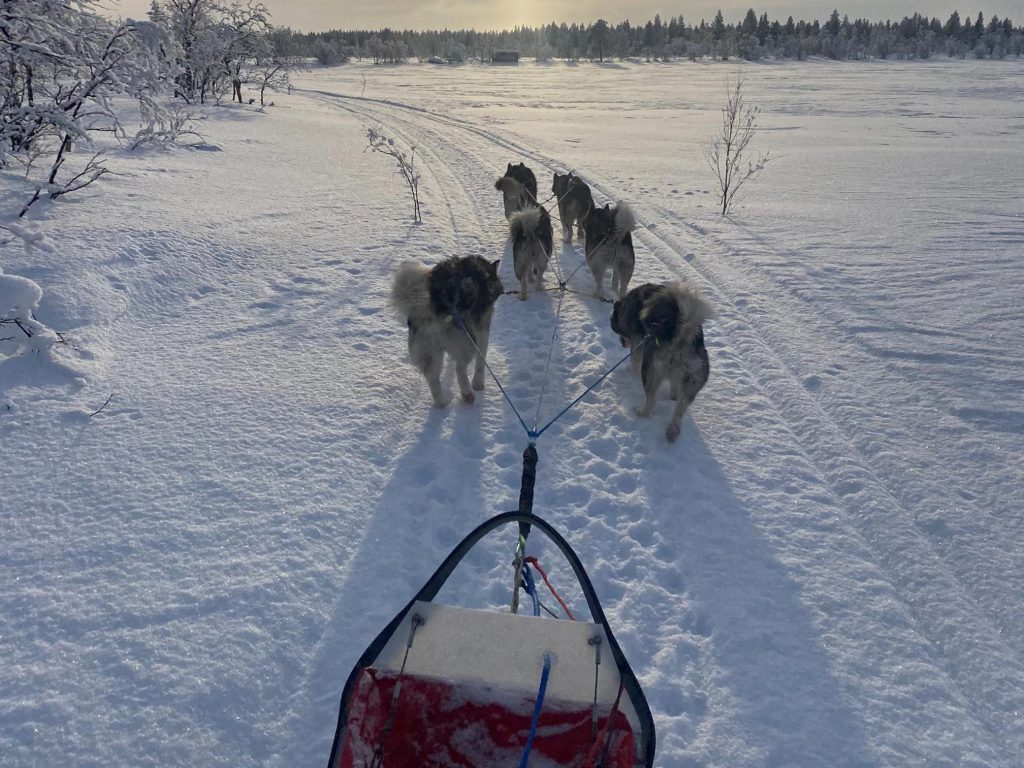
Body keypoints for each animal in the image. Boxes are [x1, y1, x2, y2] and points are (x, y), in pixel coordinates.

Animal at [391, 256, 503, 405]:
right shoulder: (482, 329)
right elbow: (480, 361)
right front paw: (478, 383)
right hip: (466, 344)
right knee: (460, 369)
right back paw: (467, 394)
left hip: (431, 353)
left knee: (433, 380)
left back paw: (442, 403)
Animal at [606, 280, 712, 442]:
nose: (622, 343)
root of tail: (682, 336)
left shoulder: (638, 343)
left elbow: (634, 362)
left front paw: (630, 372)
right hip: (691, 383)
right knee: (678, 409)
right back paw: (672, 431)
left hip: (650, 371)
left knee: (652, 401)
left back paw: (641, 413)